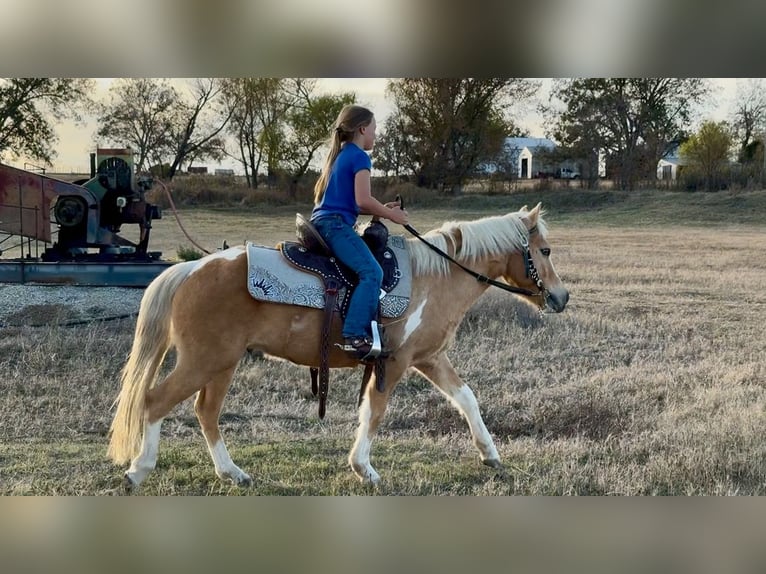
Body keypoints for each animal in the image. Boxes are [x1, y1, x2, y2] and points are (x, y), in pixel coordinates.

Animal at [107, 202, 569, 490]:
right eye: (544, 250)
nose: (561, 297)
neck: (435, 276)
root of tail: (190, 269)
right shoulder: (394, 362)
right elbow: (374, 411)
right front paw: (364, 468)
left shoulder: (429, 358)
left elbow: (467, 398)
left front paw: (490, 455)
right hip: (204, 360)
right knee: (156, 401)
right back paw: (139, 470)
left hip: (221, 363)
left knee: (206, 412)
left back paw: (232, 474)